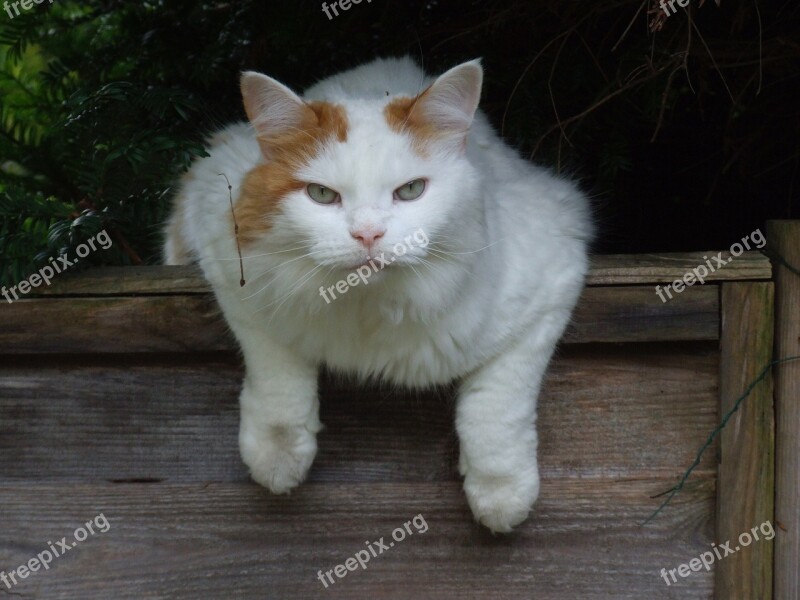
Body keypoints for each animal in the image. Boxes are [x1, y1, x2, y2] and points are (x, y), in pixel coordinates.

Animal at [164, 56, 592, 532]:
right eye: (321, 194)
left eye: (411, 190)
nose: (368, 234)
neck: (369, 309)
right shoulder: (225, 257)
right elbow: (276, 370)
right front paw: (278, 456)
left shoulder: (553, 274)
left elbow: (497, 404)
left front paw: (500, 493)